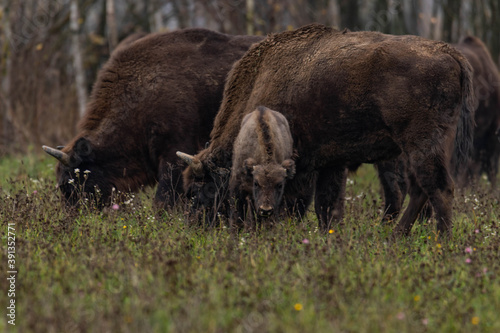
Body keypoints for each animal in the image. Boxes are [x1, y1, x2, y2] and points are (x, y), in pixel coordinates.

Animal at [178, 23, 474, 236]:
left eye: (195, 190)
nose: (193, 227)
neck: (260, 79)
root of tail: (450, 52)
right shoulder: (331, 163)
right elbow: (327, 207)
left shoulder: (300, 166)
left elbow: (299, 204)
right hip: (419, 148)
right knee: (420, 189)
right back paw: (395, 237)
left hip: (422, 144)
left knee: (438, 188)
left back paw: (441, 242)